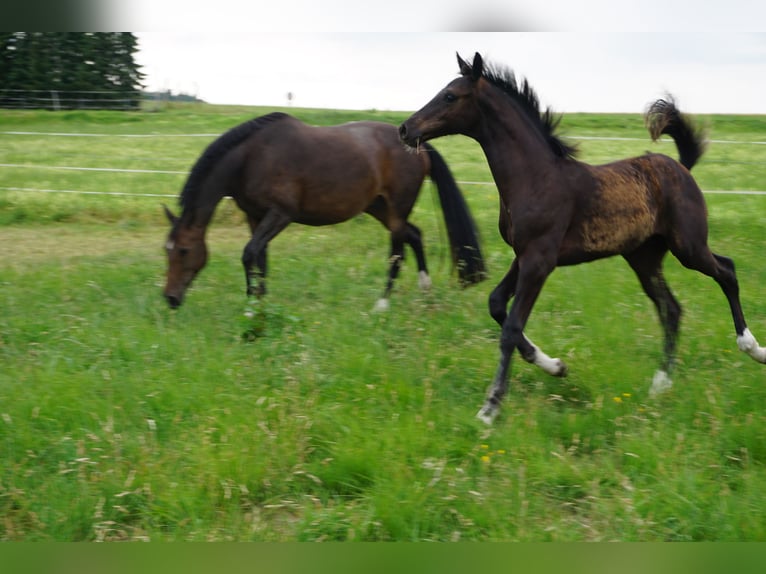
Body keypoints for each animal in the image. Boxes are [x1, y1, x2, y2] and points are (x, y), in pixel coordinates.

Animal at [162, 112, 486, 310]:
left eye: (183, 251)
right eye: (167, 251)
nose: (170, 298)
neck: (251, 157)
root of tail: (418, 145)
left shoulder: (280, 214)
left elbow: (249, 253)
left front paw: (253, 304)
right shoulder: (255, 217)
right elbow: (259, 257)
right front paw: (258, 303)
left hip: (395, 209)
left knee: (397, 252)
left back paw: (382, 304)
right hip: (378, 208)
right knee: (415, 236)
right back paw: (425, 290)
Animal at [402, 53, 766, 424]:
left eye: (450, 96)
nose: (405, 129)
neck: (535, 176)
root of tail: (682, 167)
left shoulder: (540, 260)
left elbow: (511, 328)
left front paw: (490, 408)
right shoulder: (523, 255)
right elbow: (496, 304)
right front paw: (556, 366)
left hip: (688, 246)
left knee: (726, 271)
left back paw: (752, 348)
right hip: (644, 259)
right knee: (672, 308)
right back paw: (660, 384)